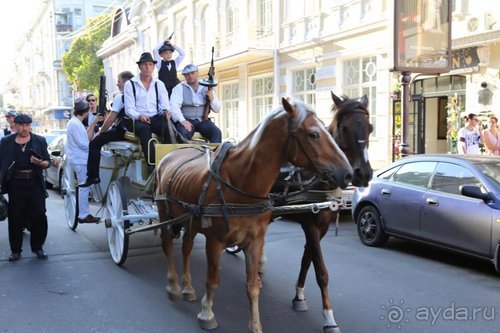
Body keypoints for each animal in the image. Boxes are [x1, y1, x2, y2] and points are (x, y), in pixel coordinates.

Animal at [154, 97, 354, 330]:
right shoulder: (215, 241)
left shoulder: (255, 240)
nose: (348, 173)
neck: (241, 181)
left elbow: (253, 286)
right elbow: (212, 280)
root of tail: (171, 153)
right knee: (168, 245)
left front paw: (255, 325)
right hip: (164, 212)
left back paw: (187, 288)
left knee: (186, 247)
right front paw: (207, 313)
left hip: (191, 219)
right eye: (313, 134)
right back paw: (174, 287)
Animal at [272, 91, 374, 332]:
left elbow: (307, 260)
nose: (363, 174)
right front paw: (329, 317)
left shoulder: (322, 226)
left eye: (370, 128)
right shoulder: (310, 225)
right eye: (344, 128)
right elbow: (321, 271)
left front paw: (299, 296)